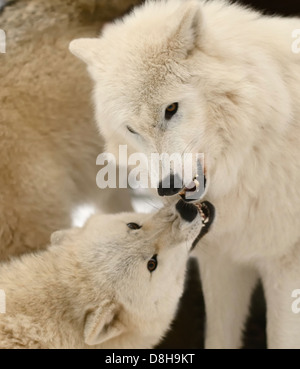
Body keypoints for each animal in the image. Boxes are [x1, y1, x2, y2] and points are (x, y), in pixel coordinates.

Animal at [69, 0, 300, 348]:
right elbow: (219, 336)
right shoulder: (223, 260)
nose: (168, 187)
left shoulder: (284, 268)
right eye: (131, 128)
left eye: (171, 109)